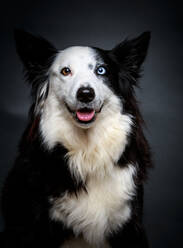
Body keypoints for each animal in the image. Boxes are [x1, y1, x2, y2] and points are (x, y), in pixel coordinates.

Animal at [1, 29, 152, 248]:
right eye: (65, 71)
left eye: (101, 70)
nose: (86, 94)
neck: (87, 150)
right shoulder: (34, 228)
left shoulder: (129, 224)